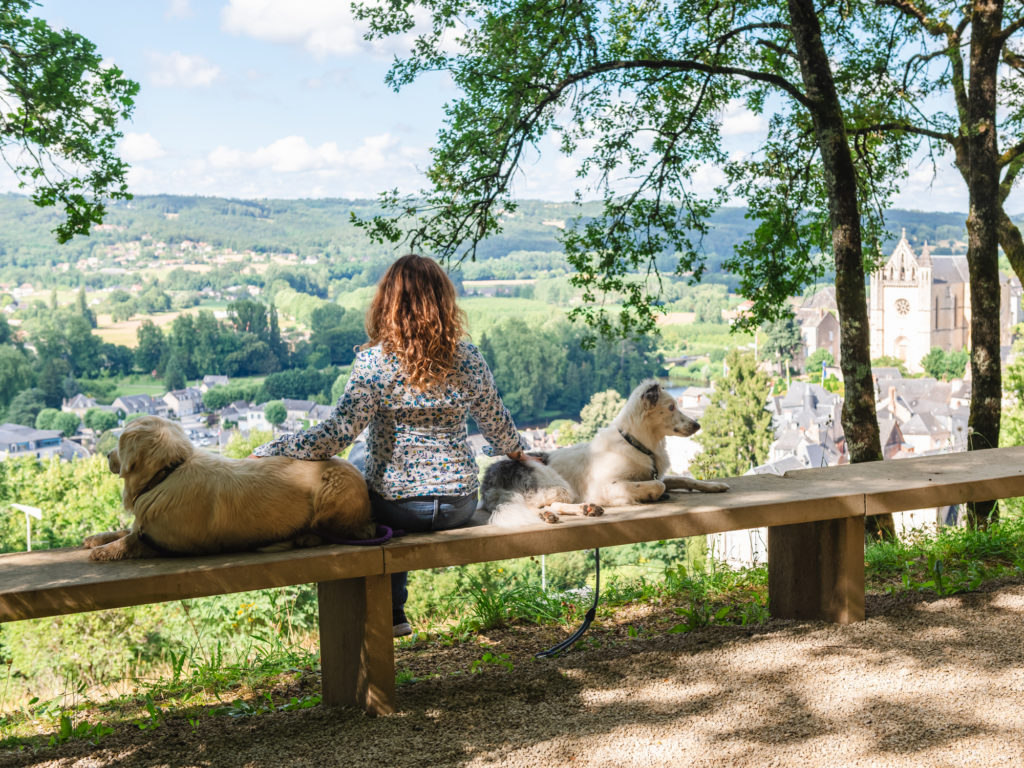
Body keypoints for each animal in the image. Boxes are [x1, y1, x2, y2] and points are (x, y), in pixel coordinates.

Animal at [83, 417, 372, 561]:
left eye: (119, 443)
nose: (107, 455)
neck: (168, 473)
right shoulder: (145, 526)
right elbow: (125, 530)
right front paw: (96, 538)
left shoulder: (175, 544)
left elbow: (131, 540)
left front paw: (104, 551)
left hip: (330, 492)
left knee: (329, 531)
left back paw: (301, 538)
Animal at [479, 380, 729, 528]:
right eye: (671, 407)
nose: (697, 425)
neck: (635, 442)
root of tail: (489, 477)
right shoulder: (607, 487)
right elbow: (659, 485)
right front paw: (652, 495)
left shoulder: (656, 473)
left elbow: (685, 479)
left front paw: (715, 486)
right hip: (555, 485)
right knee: (542, 506)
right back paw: (558, 513)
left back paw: (585, 509)